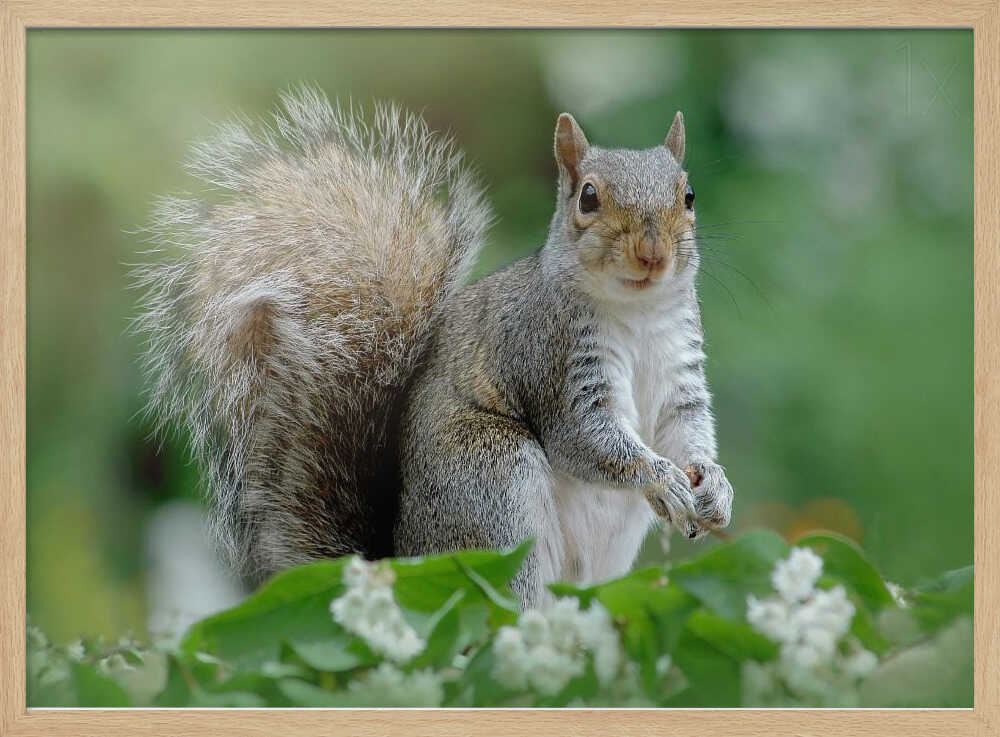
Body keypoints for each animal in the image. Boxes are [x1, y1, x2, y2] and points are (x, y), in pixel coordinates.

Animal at [135, 87, 733, 608]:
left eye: (688, 195)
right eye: (588, 196)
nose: (652, 253)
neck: (636, 315)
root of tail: (402, 564)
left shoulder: (680, 372)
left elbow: (686, 429)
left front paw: (714, 488)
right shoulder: (550, 357)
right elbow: (587, 440)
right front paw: (660, 478)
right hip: (492, 485)